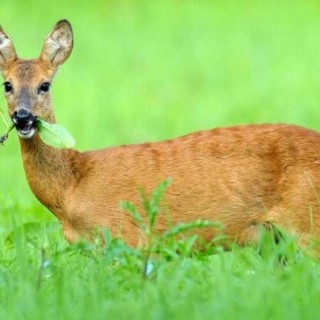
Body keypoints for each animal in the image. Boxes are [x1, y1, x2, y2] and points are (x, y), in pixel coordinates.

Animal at [0, 20, 320, 250]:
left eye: (44, 85)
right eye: (7, 85)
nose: (23, 116)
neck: (71, 189)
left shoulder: (127, 238)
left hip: (307, 222)